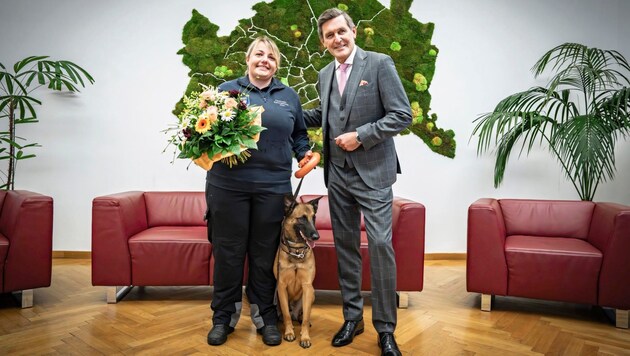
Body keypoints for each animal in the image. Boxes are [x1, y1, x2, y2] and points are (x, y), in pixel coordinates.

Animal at [274, 195, 324, 348]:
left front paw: (305, 337)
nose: (316, 236)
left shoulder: (307, 287)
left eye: (314, 218)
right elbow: (286, 315)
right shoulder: (281, 287)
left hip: (312, 294)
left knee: (301, 315)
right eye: (302, 218)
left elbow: (306, 318)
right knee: (286, 314)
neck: (296, 251)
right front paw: (289, 332)